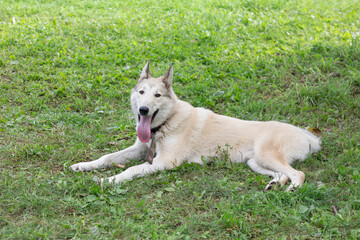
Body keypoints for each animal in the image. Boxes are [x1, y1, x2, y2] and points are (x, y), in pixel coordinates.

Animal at [70, 61, 320, 191]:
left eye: (157, 95)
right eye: (141, 92)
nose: (143, 110)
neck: (166, 124)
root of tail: (309, 137)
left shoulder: (164, 161)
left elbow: (130, 170)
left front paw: (108, 180)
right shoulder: (140, 148)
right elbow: (107, 157)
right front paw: (83, 165)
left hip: (265, 155)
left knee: (298, 173)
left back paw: (292, 188)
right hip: (255, 162)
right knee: (283, 174)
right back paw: (275, 183)